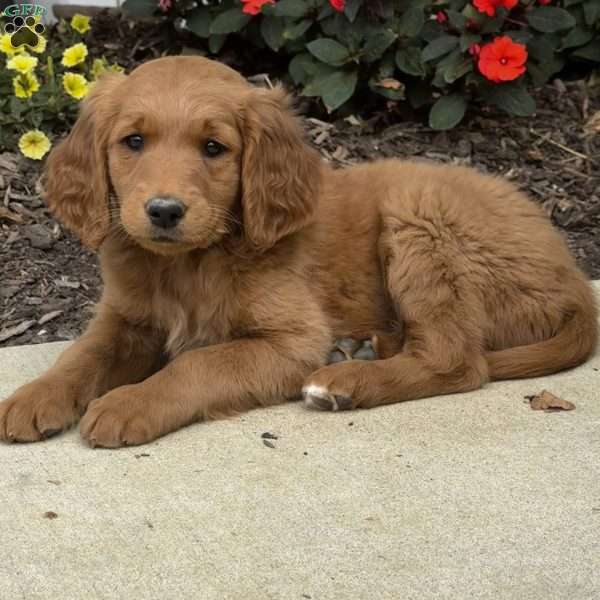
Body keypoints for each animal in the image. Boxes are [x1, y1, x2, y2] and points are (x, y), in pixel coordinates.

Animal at [2, 56, 596, 448]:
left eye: (214, 148)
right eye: (133, 142)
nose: (164, 211)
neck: (189, 265)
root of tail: (573, 276)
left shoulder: (294, 339)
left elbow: (198, 362)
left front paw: (129, 402)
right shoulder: (125, 317)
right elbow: (81, 355)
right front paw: (34, 396)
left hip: (419, 214)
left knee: (458, 361)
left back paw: (343, 380)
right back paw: (364, 348)